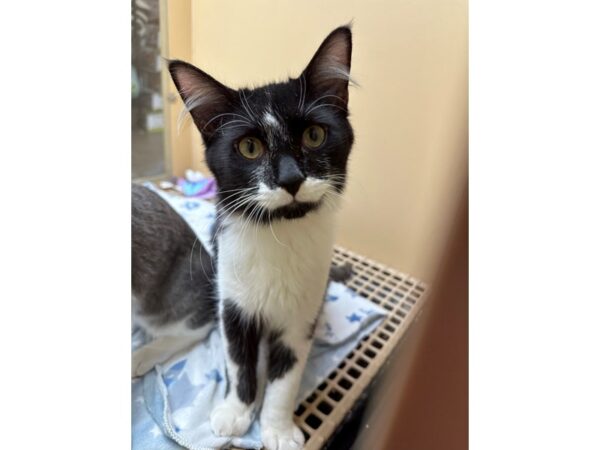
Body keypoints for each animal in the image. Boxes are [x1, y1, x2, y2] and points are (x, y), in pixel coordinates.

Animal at [134, 23, 354, 450]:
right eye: (249, 147)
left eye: (315, 135)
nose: (290, 178)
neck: (279, 234)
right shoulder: (232, 303)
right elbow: (240, 363)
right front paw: (237, 411)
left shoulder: (302, 314)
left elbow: (287, 378)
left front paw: (278, 428)